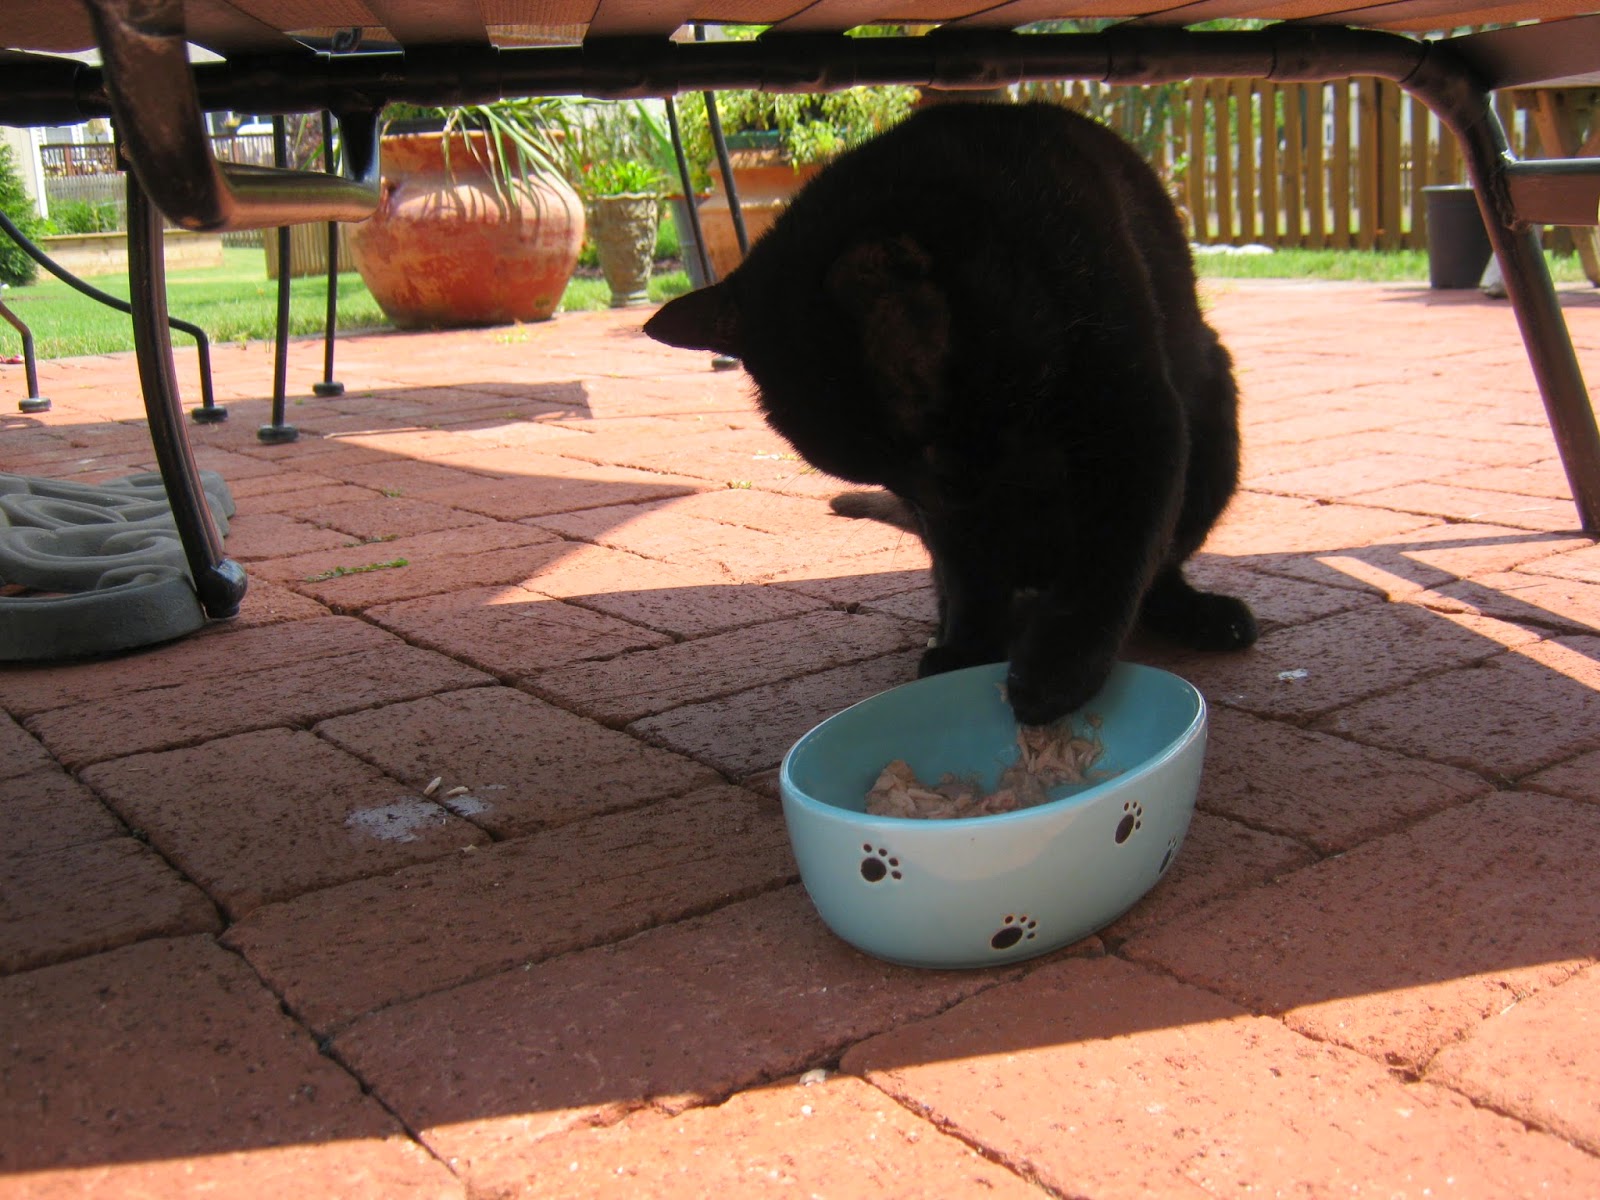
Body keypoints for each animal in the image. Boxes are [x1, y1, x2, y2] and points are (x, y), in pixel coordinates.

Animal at [644, 101, 1256, 726]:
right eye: (880, 473)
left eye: (928, 440)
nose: (943, 504)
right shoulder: (960, 523)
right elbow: (969, 577)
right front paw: (967, 649)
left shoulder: (1133, 417)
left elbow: (1114, 558)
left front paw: (1058, 669)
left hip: (1213, 414)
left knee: (1160, 567)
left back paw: (1202, 614)